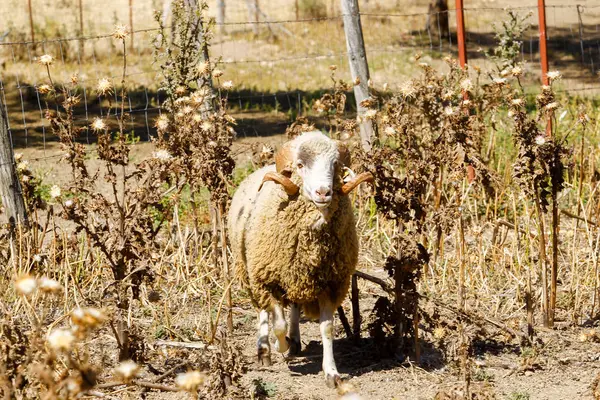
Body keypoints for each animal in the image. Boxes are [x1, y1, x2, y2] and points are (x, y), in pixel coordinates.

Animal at [227, 131, 372, 388]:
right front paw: (278, 344)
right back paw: (265, 349)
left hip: (296, 278)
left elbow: (327, 329)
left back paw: (294, 341)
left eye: (335, 165)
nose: (324, 192)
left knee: (294, 305)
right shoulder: (268, 279)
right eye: (301, 165)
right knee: (263, 311)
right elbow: (278, 324)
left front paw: (331, 373)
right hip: (251, 270)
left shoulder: (329, 284)